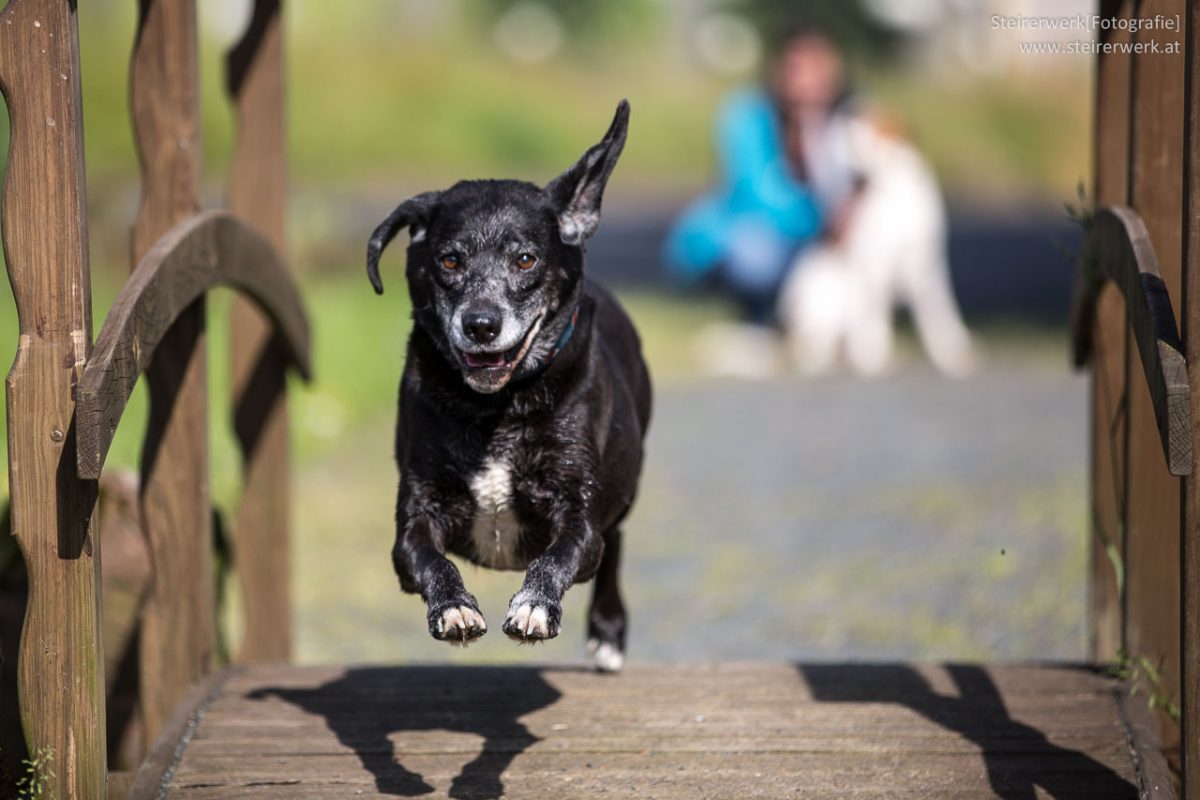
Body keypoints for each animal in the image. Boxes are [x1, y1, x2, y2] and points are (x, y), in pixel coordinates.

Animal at [364, 103, 652, 671]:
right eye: (449, 260)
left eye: (525, 259)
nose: (480, 324)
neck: (496, 407)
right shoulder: (415, 516)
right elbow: (429, 558)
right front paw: (453, 607)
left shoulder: (578, 511)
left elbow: (561, 554)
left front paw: (535, 605)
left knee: (616, 542)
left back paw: (608, 632)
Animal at [777, 116, 974, 379]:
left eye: (874, 125)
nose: (846, 121)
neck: (898, 194)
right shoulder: (876, 267)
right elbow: (874, 325)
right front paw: (874, 361)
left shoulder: (927, 268)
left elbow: (940, 318)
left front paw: (953, 358)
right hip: (826, 308)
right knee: (809, 348)